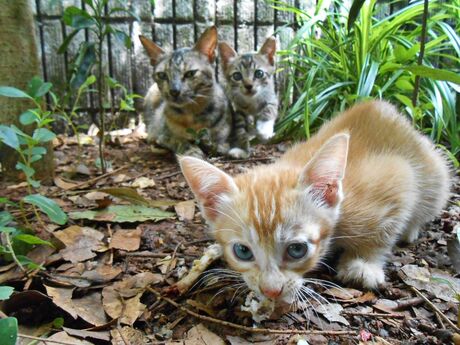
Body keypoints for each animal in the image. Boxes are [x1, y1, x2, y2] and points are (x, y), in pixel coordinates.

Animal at [137, 26, 230, 156]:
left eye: (190, 73)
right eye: (162, 75)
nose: (174, 91)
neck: (191, 113)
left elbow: (220, 144)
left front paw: (211, 144)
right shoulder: (162, 135)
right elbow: (181, 141)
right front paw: (193, 151)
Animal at [179, 99, 450, 304]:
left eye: (297, 249)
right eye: (242, 251)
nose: (271, 291)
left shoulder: (396, 178)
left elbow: (383, 231)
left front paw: (364, 263)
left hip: (435, 174)